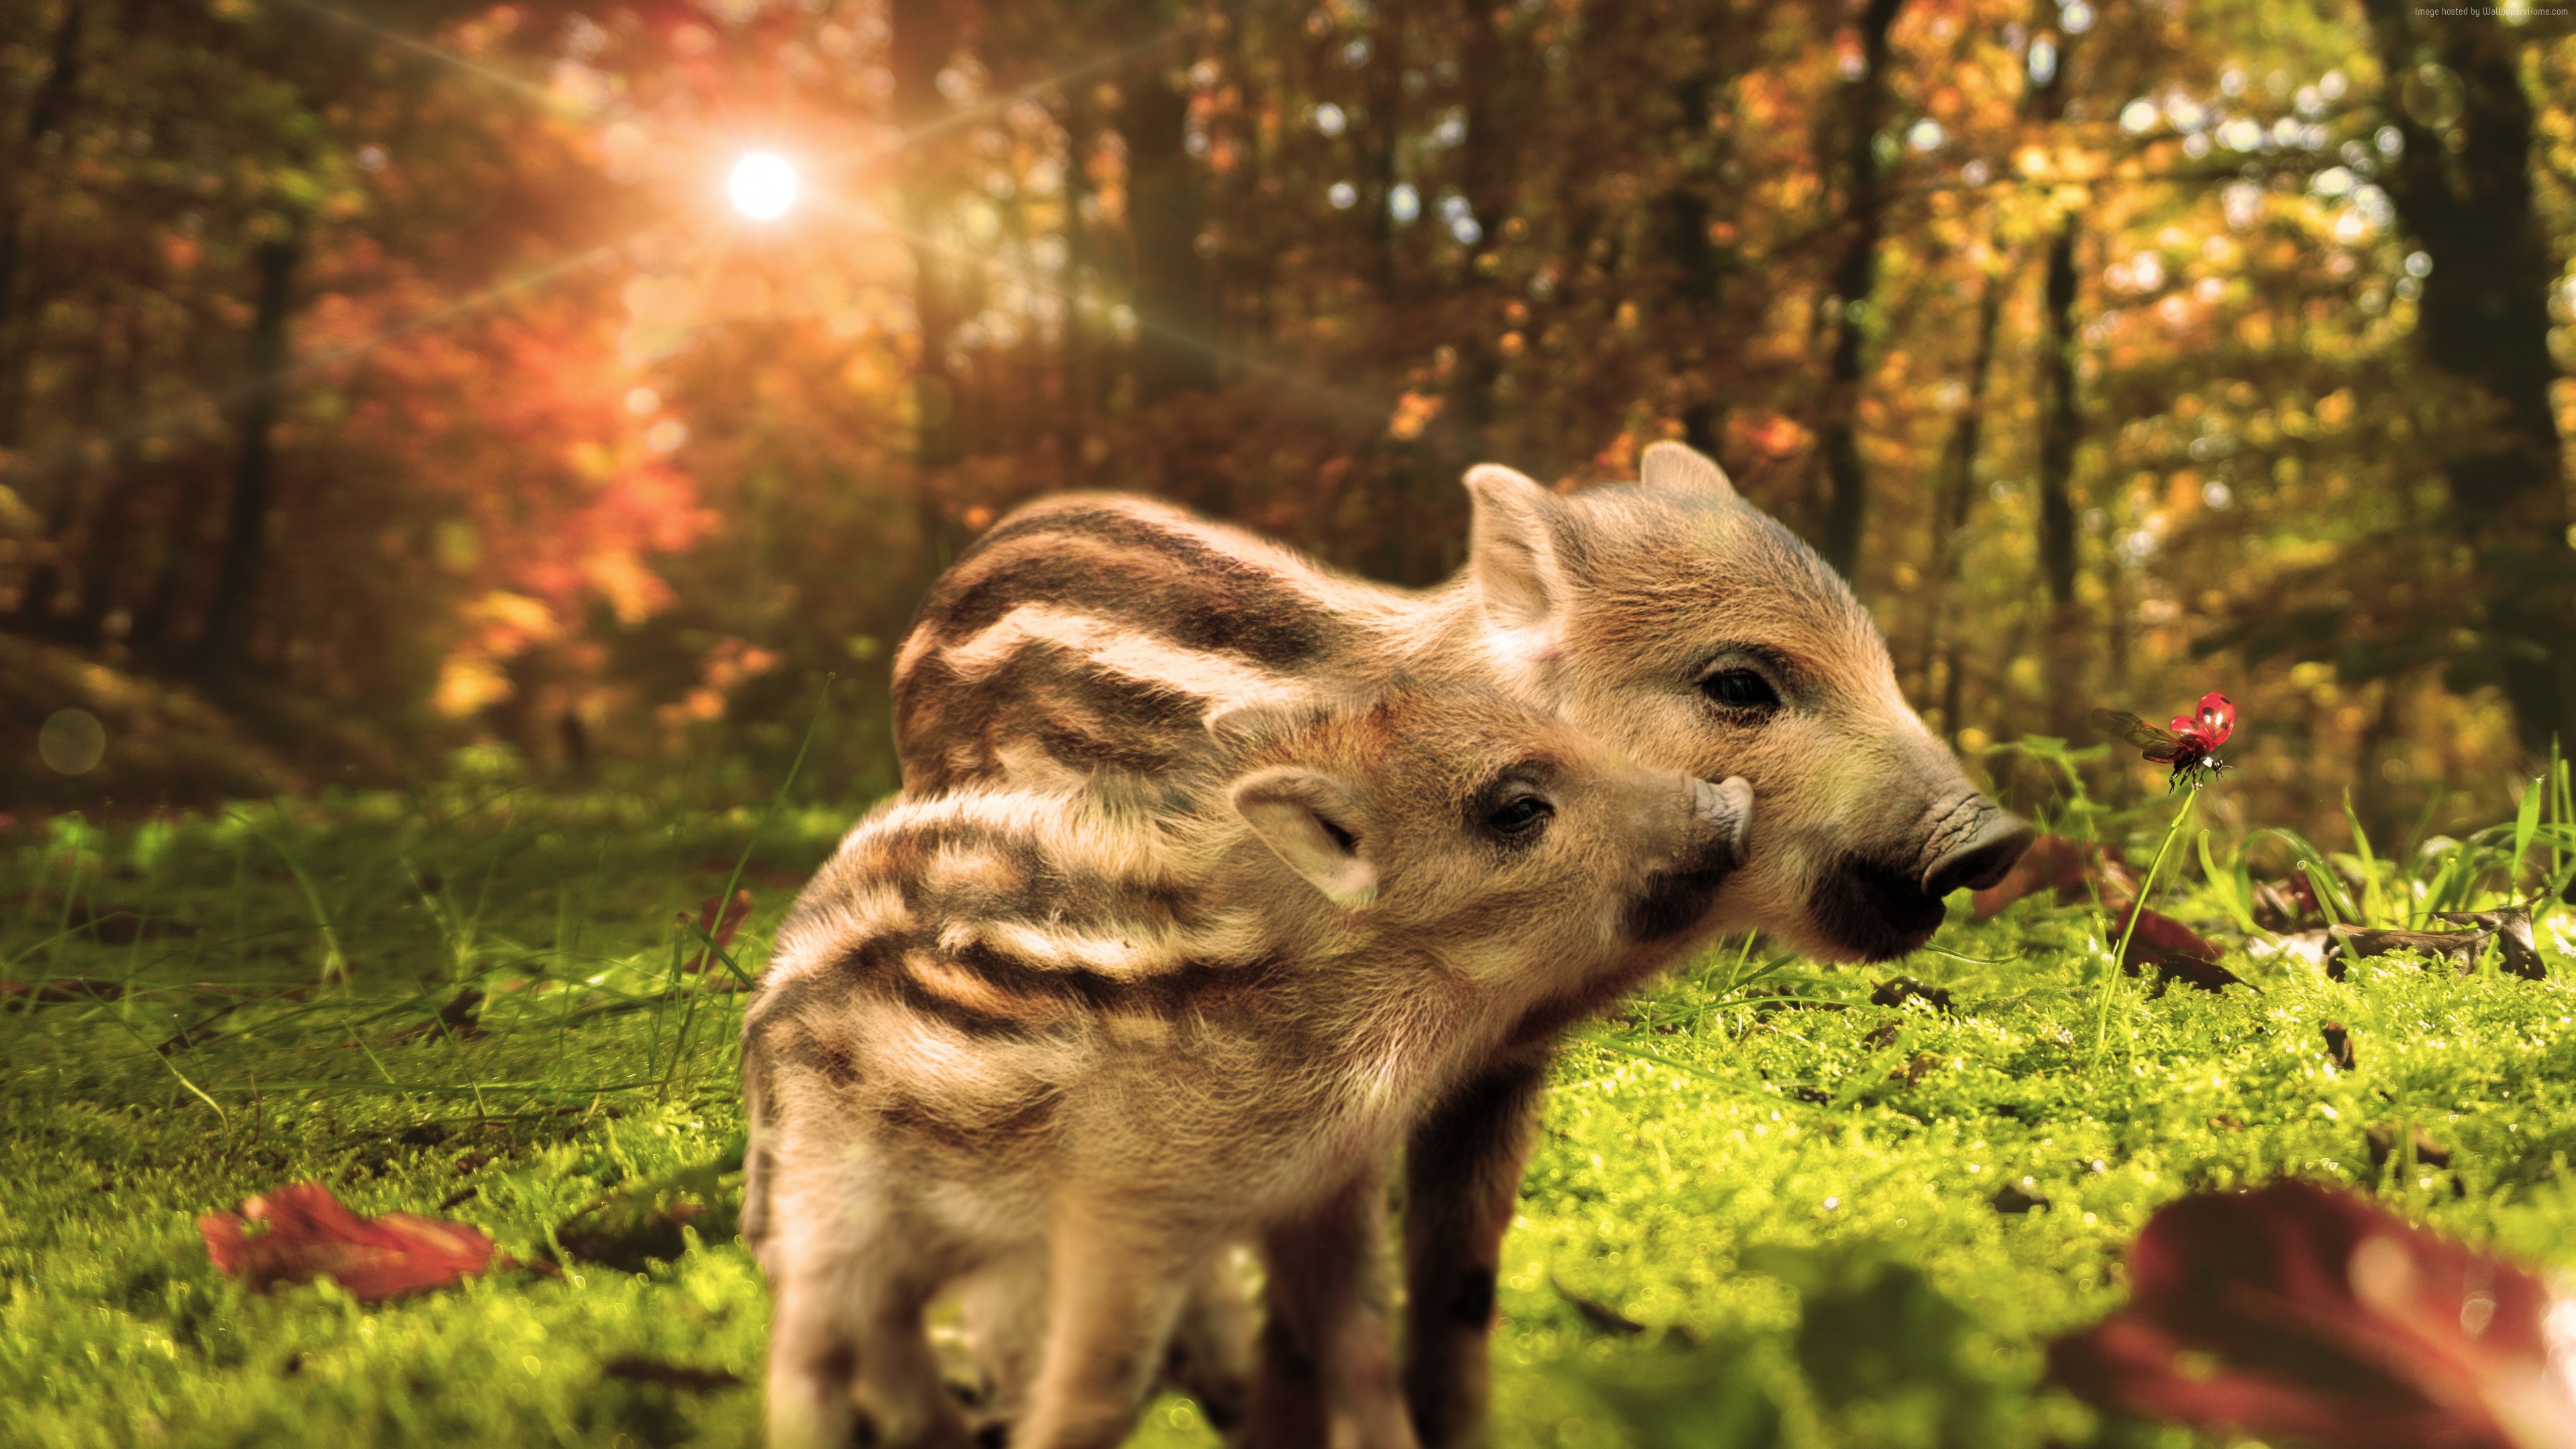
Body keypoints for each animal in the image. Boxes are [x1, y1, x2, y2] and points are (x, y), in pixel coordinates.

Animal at [740, 686, 1754, 1449]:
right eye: (1516, 809)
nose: (1731, 803)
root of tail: (775, 983)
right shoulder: (1126, 1205)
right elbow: (1097, 1388)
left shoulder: (1324, 1190)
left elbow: (1358, 1347)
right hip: (833, 1191)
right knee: (810, 1343)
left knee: (889, 1328)